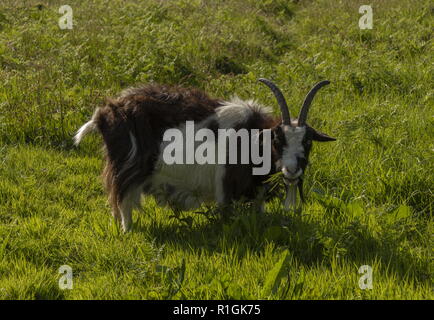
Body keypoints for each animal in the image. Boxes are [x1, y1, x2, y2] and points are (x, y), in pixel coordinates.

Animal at [74, 79, 336, 231]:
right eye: (278, 140)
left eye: (307, 142)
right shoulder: (225, 190)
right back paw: (128, 231)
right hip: (128, 169)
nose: (292, 170)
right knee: (124, 203)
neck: (253, 139)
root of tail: (105, 113)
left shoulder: (256, 193)